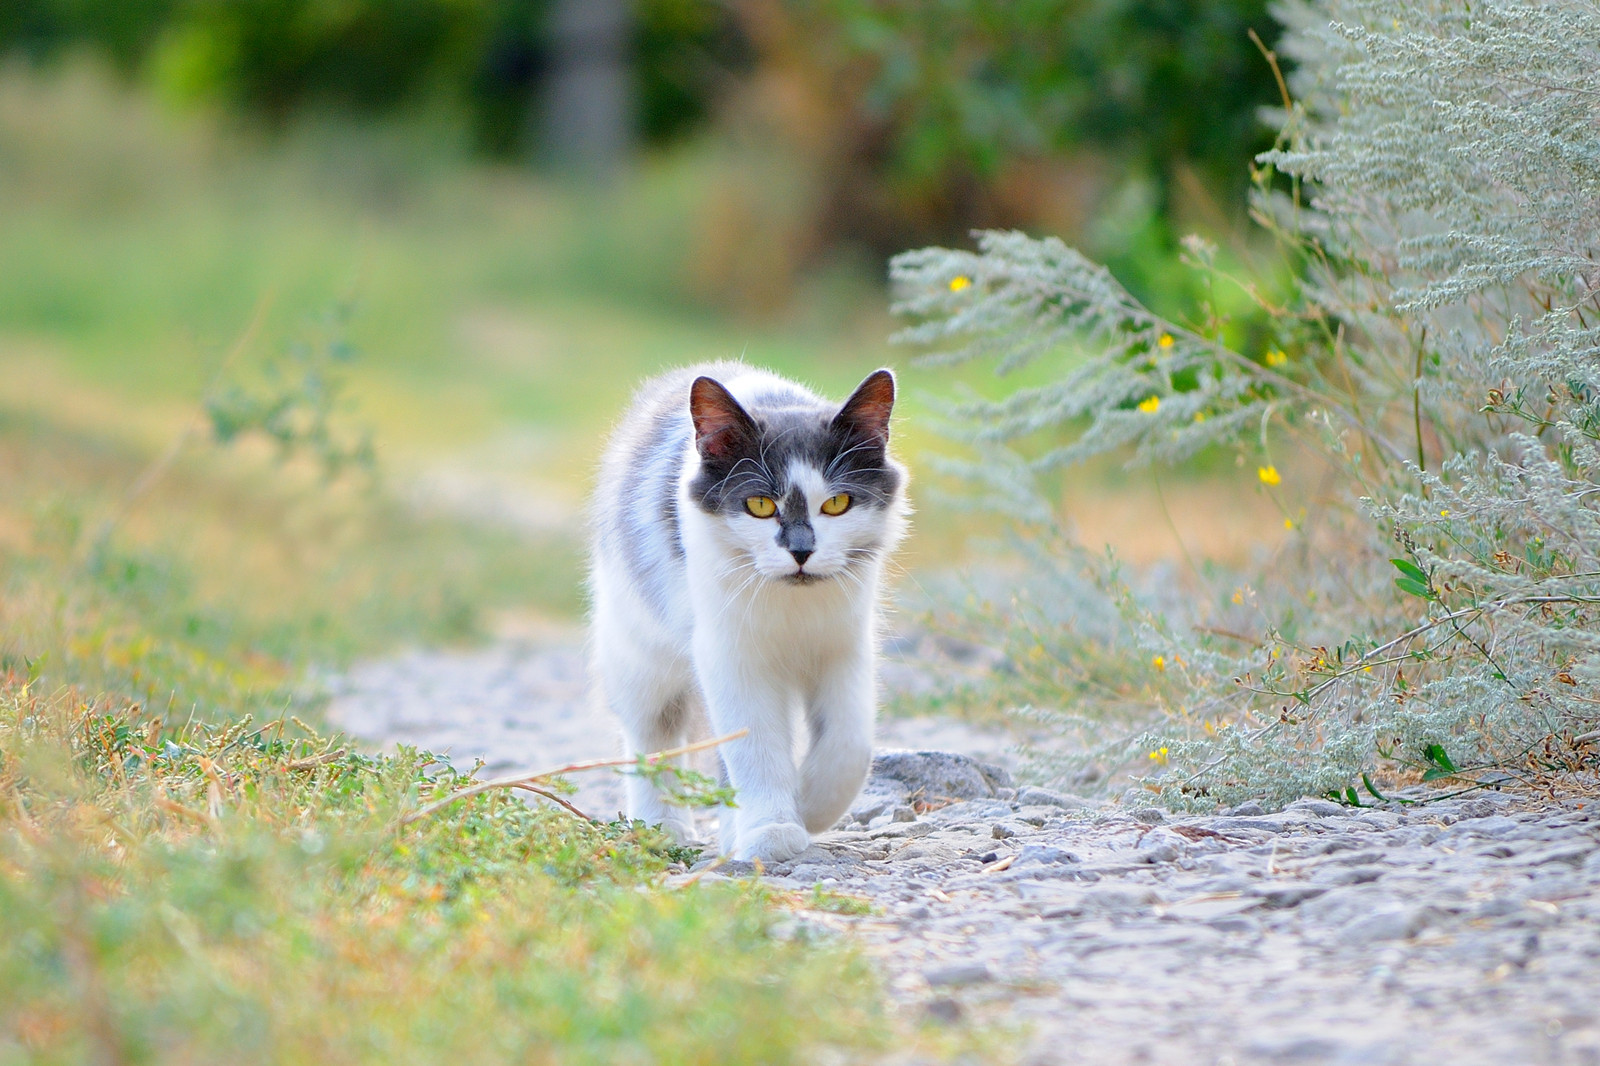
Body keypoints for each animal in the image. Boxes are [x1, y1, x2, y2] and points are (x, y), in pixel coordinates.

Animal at [592, 361, 915, 857]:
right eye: (760, 505)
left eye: (837, 503)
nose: (801, 551)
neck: (791, 607)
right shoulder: (730, 658)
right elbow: (755, 748)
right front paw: (773, 829)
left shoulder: (846, 647)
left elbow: (850, 744)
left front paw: (811, 805)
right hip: (638, 655)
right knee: (651, 737)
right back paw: (661, 826)